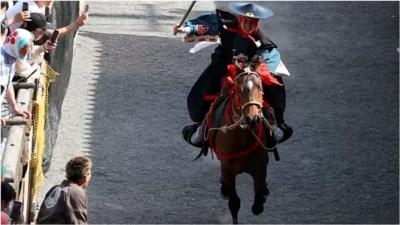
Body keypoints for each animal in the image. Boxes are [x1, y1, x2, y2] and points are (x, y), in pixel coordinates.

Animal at [205, 64, 274, 224]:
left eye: (260, 87)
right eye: (239, 89)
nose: (253, 119)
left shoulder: (261, 165)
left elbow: (257, 202)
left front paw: (261, 196)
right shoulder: (228, 168)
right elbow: (234, 203)